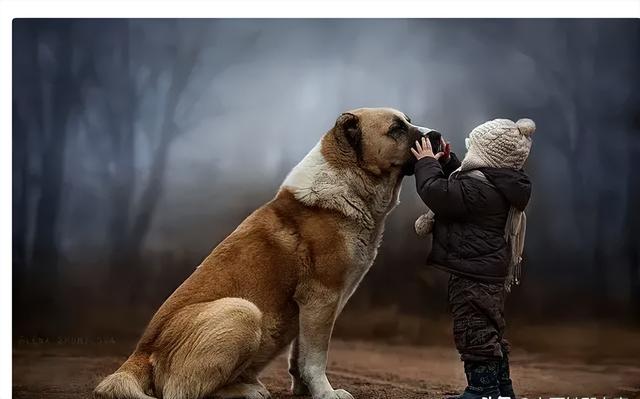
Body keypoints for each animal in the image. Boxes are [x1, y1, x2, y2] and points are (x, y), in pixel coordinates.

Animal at [95, 108, 436, 398]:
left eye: (408, 121)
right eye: (395, 129)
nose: (436, 135)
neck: (348, 183)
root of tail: (140, 354)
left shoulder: (312, 307)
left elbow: (300, 355)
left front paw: (304, 390)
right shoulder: (321, 297)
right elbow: (316, 356)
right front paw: (326, 393)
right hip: (242, 311)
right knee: (183, 392)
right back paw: (247, 390)